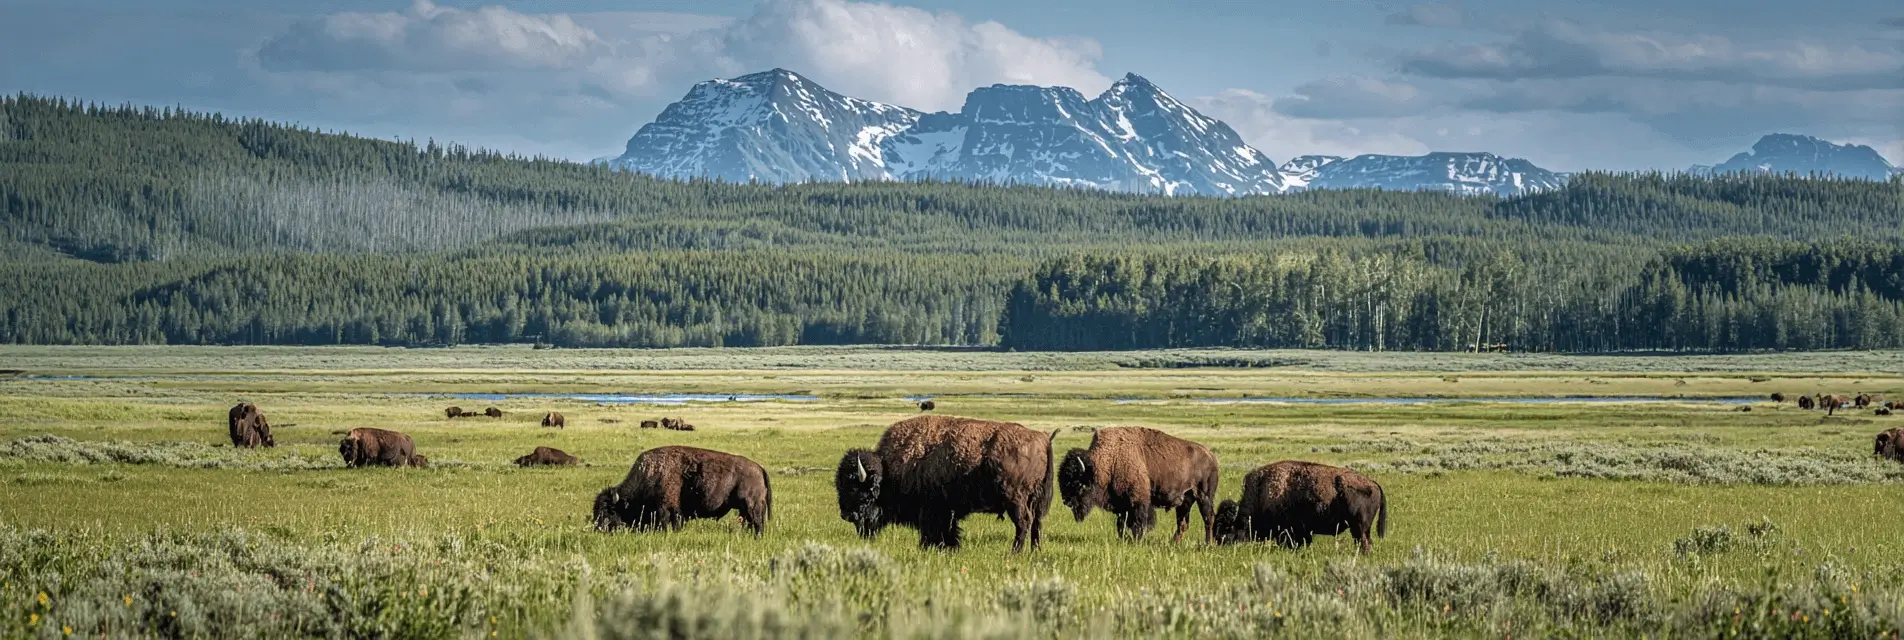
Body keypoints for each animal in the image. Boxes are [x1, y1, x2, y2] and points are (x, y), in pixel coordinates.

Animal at [592, 446, 771, 536]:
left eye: (608, 511)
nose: (598, 529)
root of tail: (759, 467)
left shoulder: (667, 509)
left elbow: (668, 522)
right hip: (745, 509)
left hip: (752, 506)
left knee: (757, 523)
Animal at [834, 415, 1059, 552]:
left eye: (857, 489)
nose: (846, 515)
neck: (889, 470)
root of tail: (1041, 438)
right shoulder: (947, 511)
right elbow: (950, 531)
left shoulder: (931, 511)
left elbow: (934, 531)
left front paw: (929, 548)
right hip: (1035, 500)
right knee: (1037, 524)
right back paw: (1034, 551)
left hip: (1016, 499)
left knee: (1024, 523)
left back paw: (1014, 553)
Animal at [1058, 427, 1220, 543]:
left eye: (1077, 483)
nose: (1066, 501)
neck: (1109, 460)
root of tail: (1211, 456)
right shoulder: (1121, 505)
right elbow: (1121, 524)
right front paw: (1124, 539)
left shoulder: (1137, 500)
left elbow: (1138, 521)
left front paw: (1136, 540)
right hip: (1185, 500)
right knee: (1183, 523)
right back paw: (1174, 543)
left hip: (1204, 496)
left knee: (1208, 519)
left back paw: (1207, 543)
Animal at [1213, 461, 1388, 555]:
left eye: (1226, 527)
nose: (1218, 541)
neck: (1262, 493)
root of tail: (1373, 483)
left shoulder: (1290, 531)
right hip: (1361, 528)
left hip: (1358, 527)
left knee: (1364, 542)